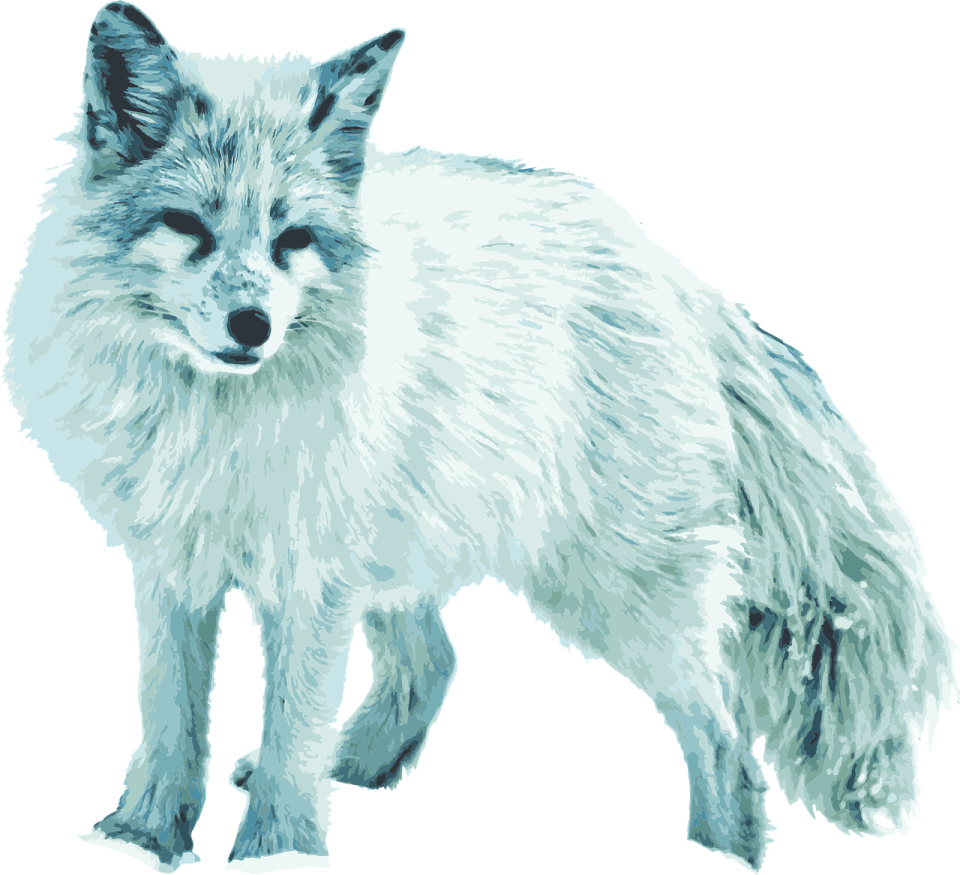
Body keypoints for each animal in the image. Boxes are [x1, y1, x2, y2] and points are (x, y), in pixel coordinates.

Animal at [3, 3, 957, 874]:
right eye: (189, 228)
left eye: (293, 239)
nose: (251, 326)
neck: (217, 423)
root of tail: (661, 262)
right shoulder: (174, 563)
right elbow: (170, 721)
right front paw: (142, 842)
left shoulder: (310, 577)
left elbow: (293, 722)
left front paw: (277, 854)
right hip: (409, 561)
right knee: (438, 662)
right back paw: (359, 766)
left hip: (611, 591)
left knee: (724, 731)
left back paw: (724, 857)